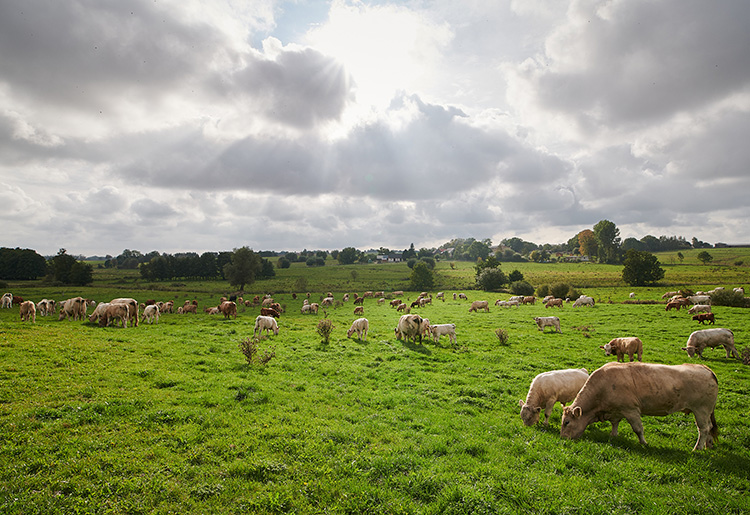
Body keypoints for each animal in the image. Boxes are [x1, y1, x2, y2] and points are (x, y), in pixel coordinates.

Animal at [560, 362, 720, 452]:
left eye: (567, 422)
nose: (562, 438)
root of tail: (706, 369)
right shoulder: (616, 410)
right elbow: (615, 423)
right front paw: (613, 435)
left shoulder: (631, 410)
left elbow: (638, 429)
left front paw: (643, 442)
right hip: (705, 412)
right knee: (710, 427)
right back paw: (709, 445)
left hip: (701, 409)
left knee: (703, 429)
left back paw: (697, 448)